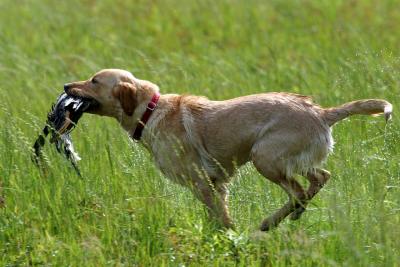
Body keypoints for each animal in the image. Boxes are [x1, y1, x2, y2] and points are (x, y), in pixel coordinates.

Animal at [64, 69, 392, 232]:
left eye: (94, 81)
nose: (66, 85)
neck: (150, 110)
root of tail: (321, 113)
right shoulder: (218, 184)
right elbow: (218, 215)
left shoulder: (202, 183)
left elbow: (220, 219)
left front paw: (228, 239)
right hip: (294, 159)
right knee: (320, 177)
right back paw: (289, 216)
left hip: (264, 157)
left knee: (299, 190)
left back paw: (271, 222)